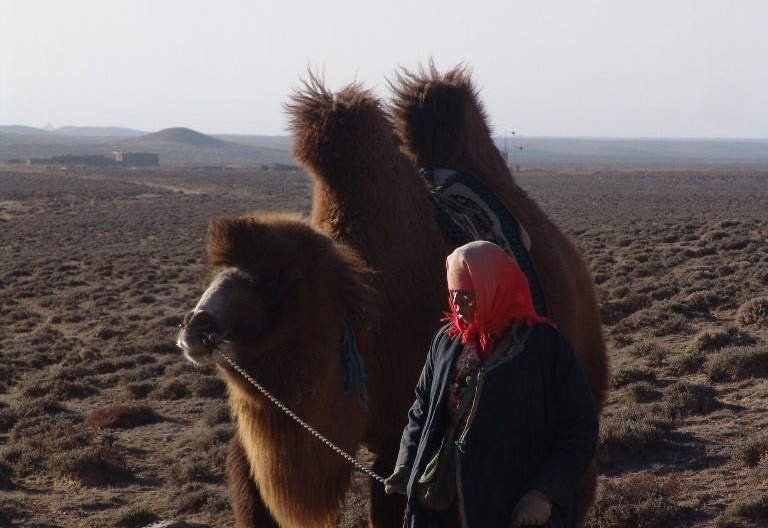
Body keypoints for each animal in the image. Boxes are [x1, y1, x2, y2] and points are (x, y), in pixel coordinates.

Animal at [177, 68, 608, 524]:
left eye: (273, 279)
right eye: (217, 273)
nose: (194, 327)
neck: (366, 321)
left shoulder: (399, 432)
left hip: (582, 349)